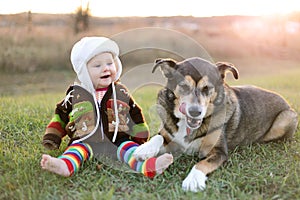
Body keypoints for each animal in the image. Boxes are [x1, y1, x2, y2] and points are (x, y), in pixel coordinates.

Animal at [135, 56, 298, 192]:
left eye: (207, 88)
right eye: (184, 86)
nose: (195, 112)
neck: (188, 127)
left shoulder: (219, 152)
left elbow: (202, 163)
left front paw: (193, 180)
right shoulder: (170, 134)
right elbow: (158, 136)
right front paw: (145, 148)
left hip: (286, 118)